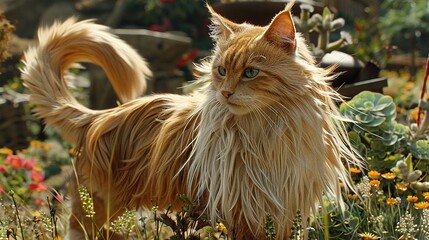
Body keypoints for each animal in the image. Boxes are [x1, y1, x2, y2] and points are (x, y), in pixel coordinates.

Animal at [20, 1, 362, 238]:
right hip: (96, 210)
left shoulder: (286, 208)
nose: (225, 92)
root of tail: (99, 116)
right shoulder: (244, 211)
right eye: (221, 70)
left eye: (251, 72)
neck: (267, 129)